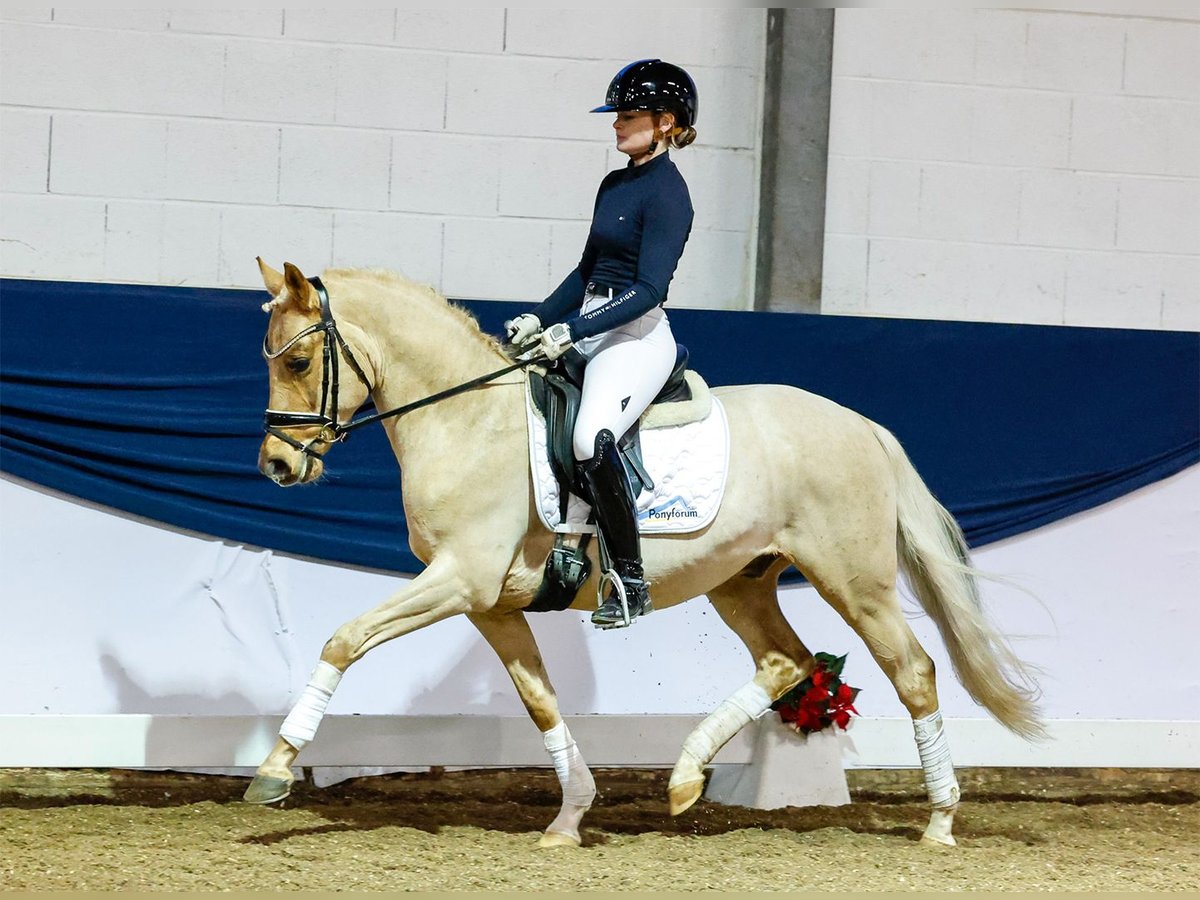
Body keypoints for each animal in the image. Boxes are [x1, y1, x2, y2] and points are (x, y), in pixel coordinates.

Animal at [243, 262, 1041, 854]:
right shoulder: (489, 603)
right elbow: (539, 700)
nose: (277, 467)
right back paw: (686, 779)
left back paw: (940, 822)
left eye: (302, 360)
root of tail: (864, 425)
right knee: (786, 661)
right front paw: (571, 817)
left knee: (913, 670)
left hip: (855, 580)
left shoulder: (457, 581)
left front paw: (275, 770)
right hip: (742, 580)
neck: (465, 421)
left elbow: (345, 639)